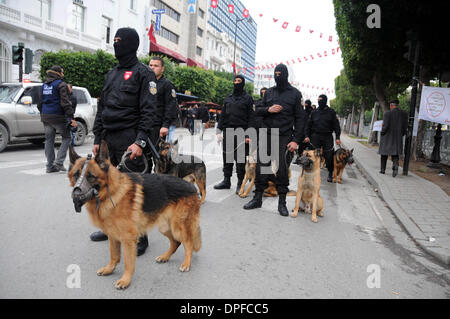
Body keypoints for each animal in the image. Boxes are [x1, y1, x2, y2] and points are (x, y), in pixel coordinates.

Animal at [68, 142, 200, 290]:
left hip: (177, 227)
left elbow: (128, 262)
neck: (111, 192)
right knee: (176, 242)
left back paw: (186, 263)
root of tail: (191, 186)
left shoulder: (128, 239)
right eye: (76, 175)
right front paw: (109, 269)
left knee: (188, 243)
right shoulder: (113, 235)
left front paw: (125, 280)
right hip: (164, 226)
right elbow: (114, 255)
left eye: (90, 176)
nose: (75, 194)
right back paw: (165, 256)